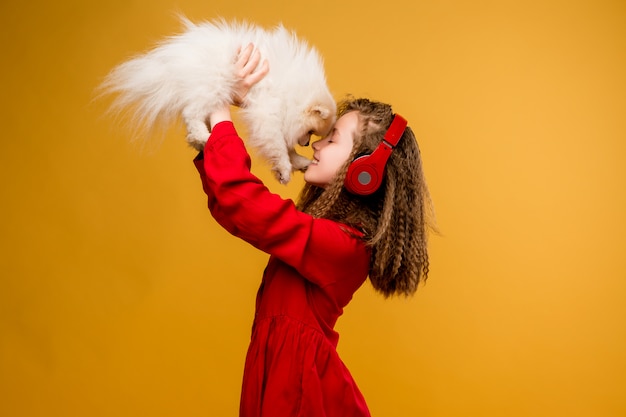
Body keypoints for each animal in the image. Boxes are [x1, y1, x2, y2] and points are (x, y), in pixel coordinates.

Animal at [97, 16, 334, 182]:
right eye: (311, 133)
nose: (307, 143)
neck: (293, 92)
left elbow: (286, 146)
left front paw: (299, 162)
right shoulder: (267, 113)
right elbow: (278, 145)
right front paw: (285, 168)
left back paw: (200, 140)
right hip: (216, 85)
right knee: (191, 113)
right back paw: (203, 136)